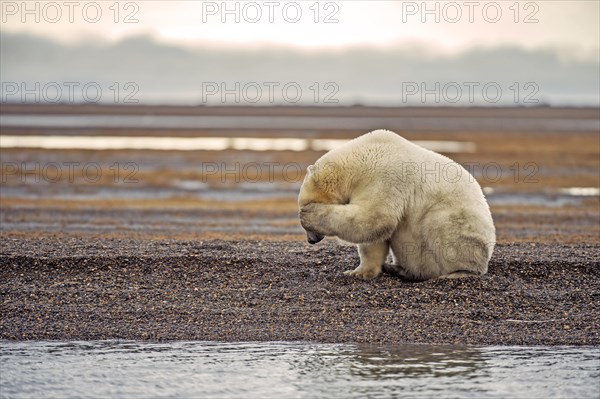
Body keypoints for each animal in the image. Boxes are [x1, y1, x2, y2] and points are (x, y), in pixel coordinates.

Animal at [298, 130, 494, 282]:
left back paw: (459, 272)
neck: (362, 157)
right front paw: (358, 272)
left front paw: (309, 215)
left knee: (442, 227)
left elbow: (376, 217)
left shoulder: (384, 176)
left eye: (302, 205)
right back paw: (397, 268)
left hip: (461, 225)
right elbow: (375, 237)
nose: (311, 240)